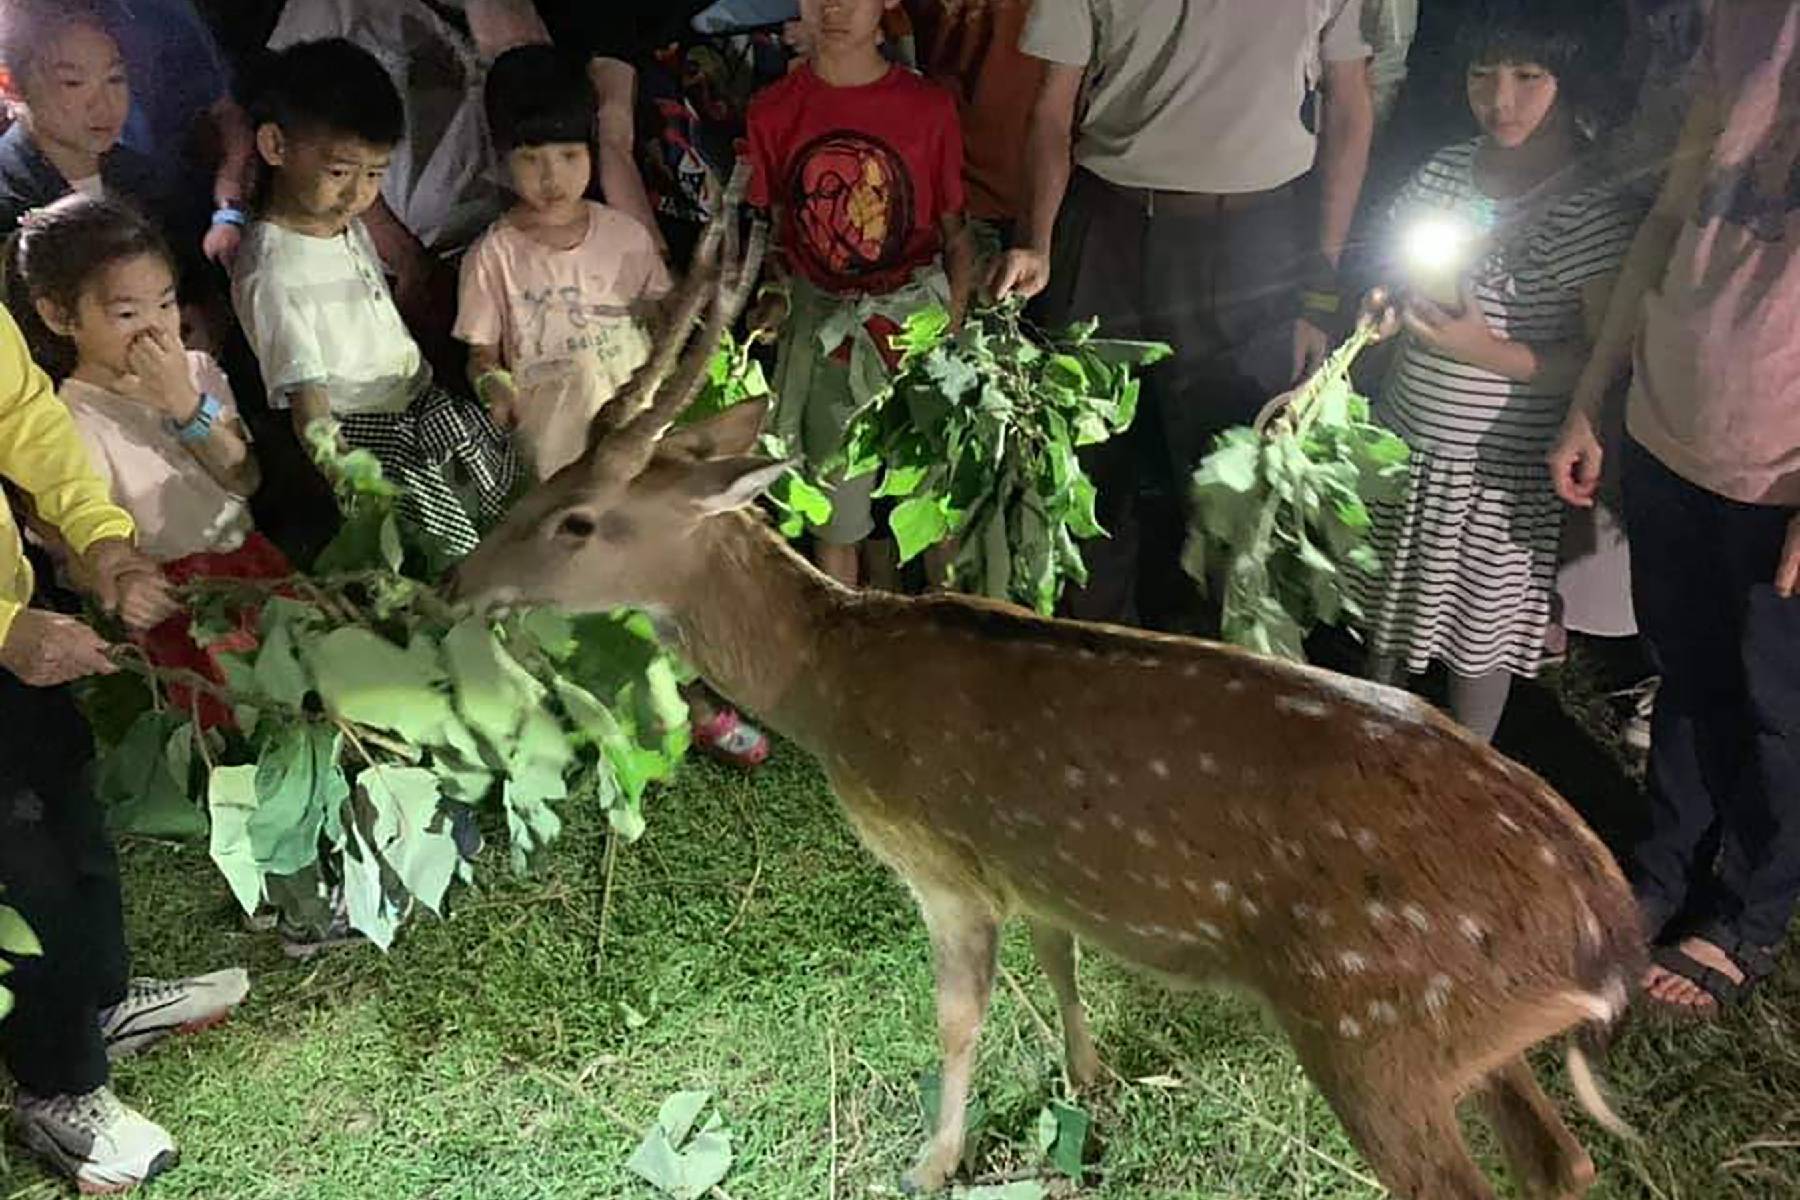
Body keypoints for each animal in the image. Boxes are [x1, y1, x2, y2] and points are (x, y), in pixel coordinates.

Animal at [450, 170, 1648, 1200]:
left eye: (576, 520)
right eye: (551, 478)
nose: (458, 581)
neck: (831, 690)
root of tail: (1608, 938)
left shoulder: (943, 867)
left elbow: (956, 1019)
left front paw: (933, 1160)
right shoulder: (1032, 869)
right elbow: (1061, 964)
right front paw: (1087, 1076)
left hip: (1373, 1026)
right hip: (1467, 1040)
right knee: (1563, 1159)